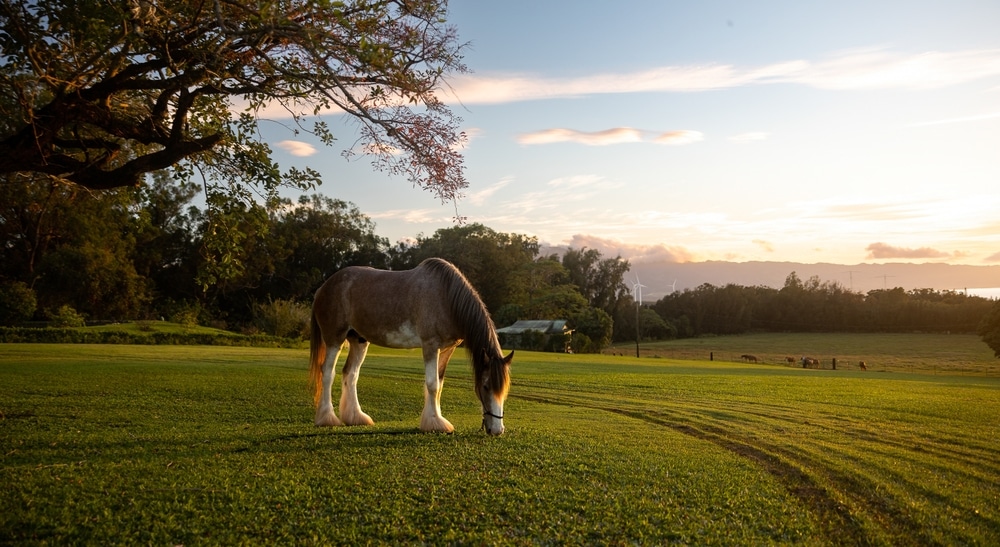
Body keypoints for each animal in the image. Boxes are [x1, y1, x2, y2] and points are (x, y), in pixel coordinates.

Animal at [308, 258, 512, 436]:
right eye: (485, 386)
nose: (497, 430)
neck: (446, 297)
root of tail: (324, 287)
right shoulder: (430, 345)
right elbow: (432, 384)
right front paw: (435, 423)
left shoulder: (447, 349)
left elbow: (439, 384)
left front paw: (434, 419)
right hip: (334, 339)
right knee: (328, 372)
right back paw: (327, 418)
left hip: (359, 341)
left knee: (351, 374)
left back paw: (356, 417)